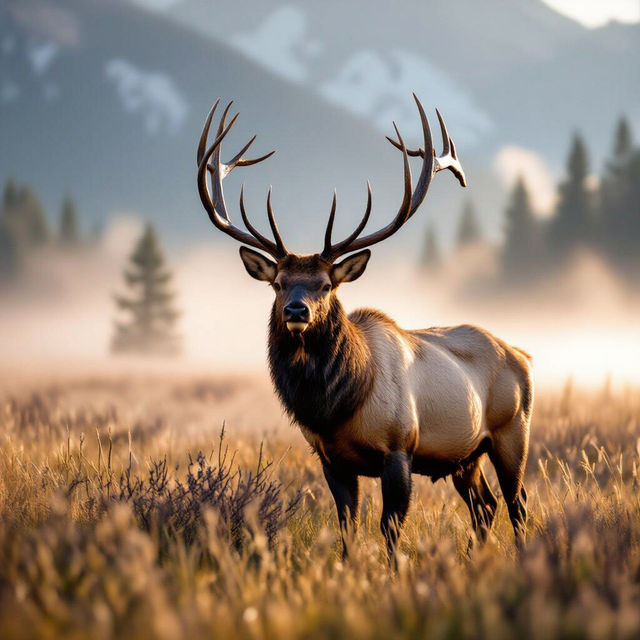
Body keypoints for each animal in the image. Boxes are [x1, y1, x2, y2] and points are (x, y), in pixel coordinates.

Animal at [196, 96, 533, 559]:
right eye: (278, 283)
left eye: (325, 284)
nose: (296, 311)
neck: (335, 407)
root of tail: (522, 356)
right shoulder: (332, 460)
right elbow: (348, 529)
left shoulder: (399, 447)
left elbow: (390, 531)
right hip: (466, 456)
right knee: (486, 506)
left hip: (511, 432)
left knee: (518, 504)